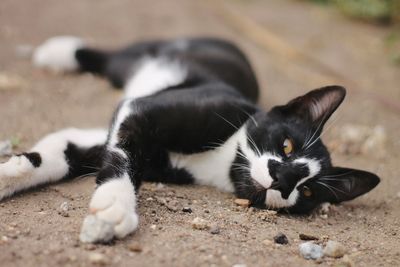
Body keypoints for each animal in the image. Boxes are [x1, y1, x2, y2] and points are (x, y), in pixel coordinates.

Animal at [0, 36, 380, 245]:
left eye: (308, 191)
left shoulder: (109, 138)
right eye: (287, 145)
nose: (283, 180)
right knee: (113, 58)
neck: (224, 159)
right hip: (145, 56)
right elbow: (124, 156)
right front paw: (116, 205)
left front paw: (11, 173)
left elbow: (65, 150)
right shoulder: (141, 110)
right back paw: (59, 51)